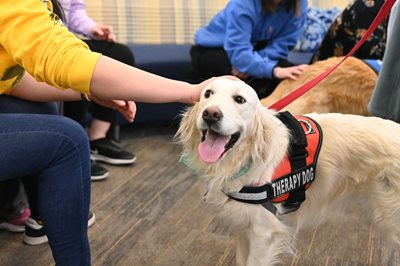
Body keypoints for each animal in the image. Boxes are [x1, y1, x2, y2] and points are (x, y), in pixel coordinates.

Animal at [177, 78, 400, 264]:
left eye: (239, 99)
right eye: (207, 93)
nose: (211, 113)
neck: (243, 159)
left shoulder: (264, 233)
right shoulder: (244, 227)